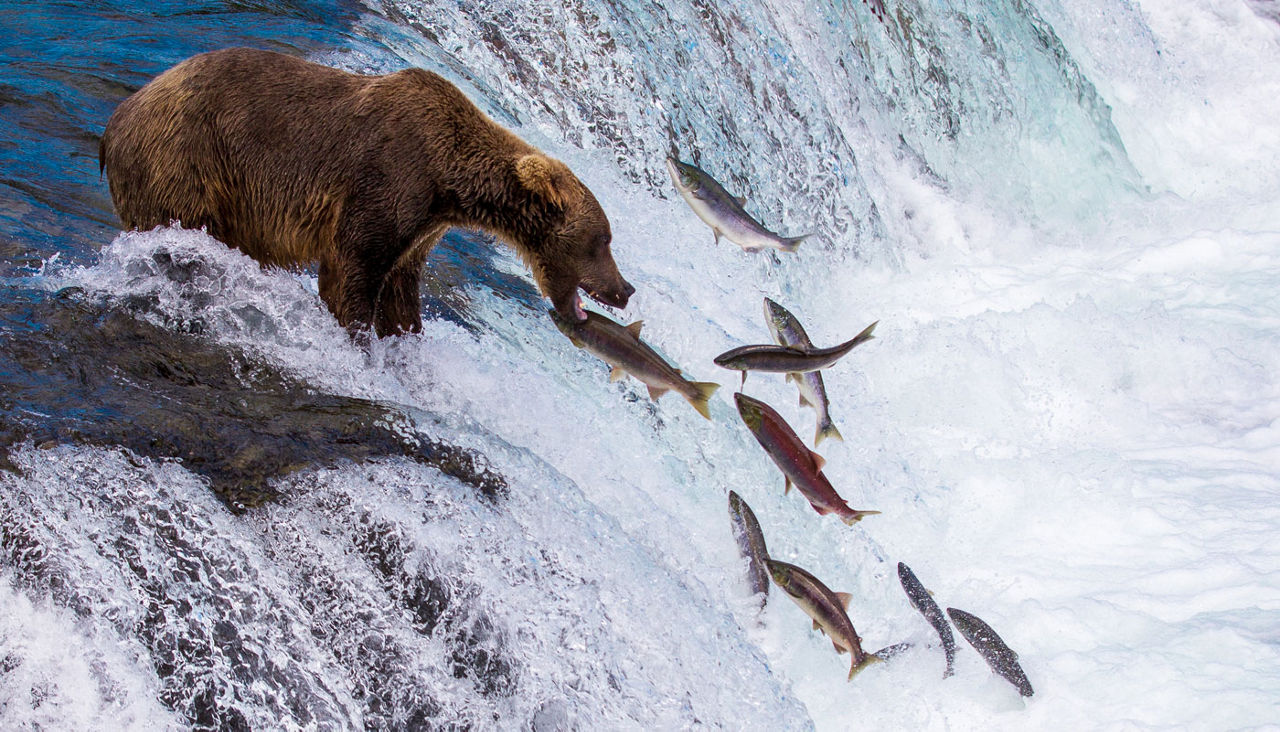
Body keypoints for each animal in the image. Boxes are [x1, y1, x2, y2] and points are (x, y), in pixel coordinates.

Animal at [99, 47, 634, 336]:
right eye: (603, 238)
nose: (626, 289)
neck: (449, 182)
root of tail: (118, 117)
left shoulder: (422, 226)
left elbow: (399, 291)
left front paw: (404, 342)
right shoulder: (390, 177)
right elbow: (351, 271)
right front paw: (358, 343)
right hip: (187, 161)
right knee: (183, 243)